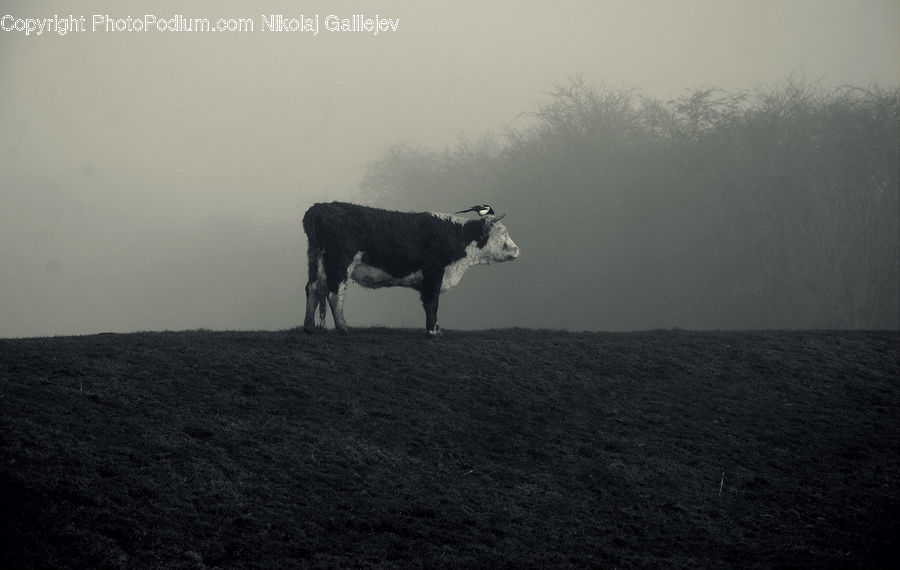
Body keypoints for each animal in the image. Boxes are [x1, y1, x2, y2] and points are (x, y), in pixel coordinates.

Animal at [301, 201, 520, 336]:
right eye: (503, 232)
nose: (517, 249)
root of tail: (319, 207)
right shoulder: (434, 273)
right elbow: (432, 303)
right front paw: (433, 331)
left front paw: (436, 328)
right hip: (339, 261)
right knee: (334, 293)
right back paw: (343, 328)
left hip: (315, 260)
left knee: (312, 288)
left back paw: (309, 327)